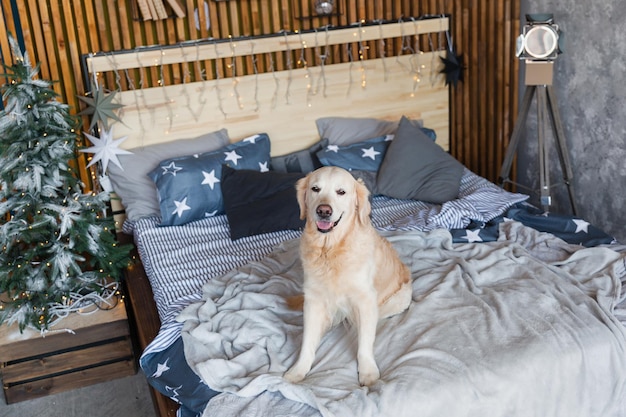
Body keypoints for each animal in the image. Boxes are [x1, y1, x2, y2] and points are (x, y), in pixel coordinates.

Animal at [284, 164, 412, 386]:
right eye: (315, 189)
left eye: (341, 192)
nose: (323, 211)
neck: (330, 249)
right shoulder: (313, 300)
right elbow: (307, 342)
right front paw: (298, 370)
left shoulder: (365, 299)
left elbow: (365, 342)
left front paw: (367, 372)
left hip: (399, 299)